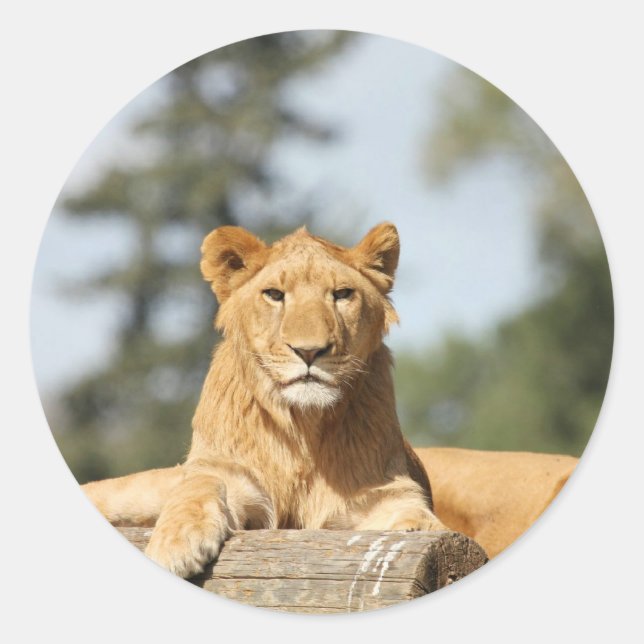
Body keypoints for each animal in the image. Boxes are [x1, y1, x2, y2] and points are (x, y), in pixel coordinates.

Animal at [82, 223, 447, 578]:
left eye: (342, 294)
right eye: (275, 295)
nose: (309, 351)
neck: (304, 424)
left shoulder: (381, 491)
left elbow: (411, 510)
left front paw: (421, 528)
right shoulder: (233, 476)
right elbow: (198, 485)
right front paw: (176, 543)